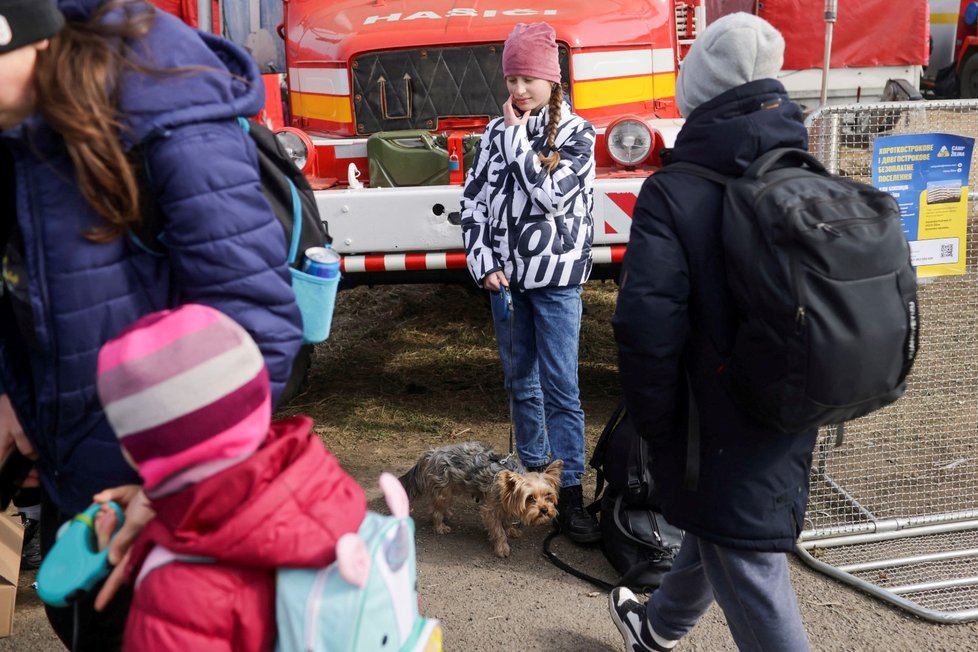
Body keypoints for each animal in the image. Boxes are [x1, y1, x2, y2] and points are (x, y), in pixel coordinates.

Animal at [398, 440, 564, 556]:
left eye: (548, 495)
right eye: (530, 498)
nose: (545, 510)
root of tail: (432, 453)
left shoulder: (507, 504)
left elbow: (507, 520)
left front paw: (511, 530)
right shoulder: (490, 510)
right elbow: (498, 530)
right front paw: (502, 547)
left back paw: (447, 513)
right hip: (443, 491)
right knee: (436, 510)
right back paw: (440, 526)